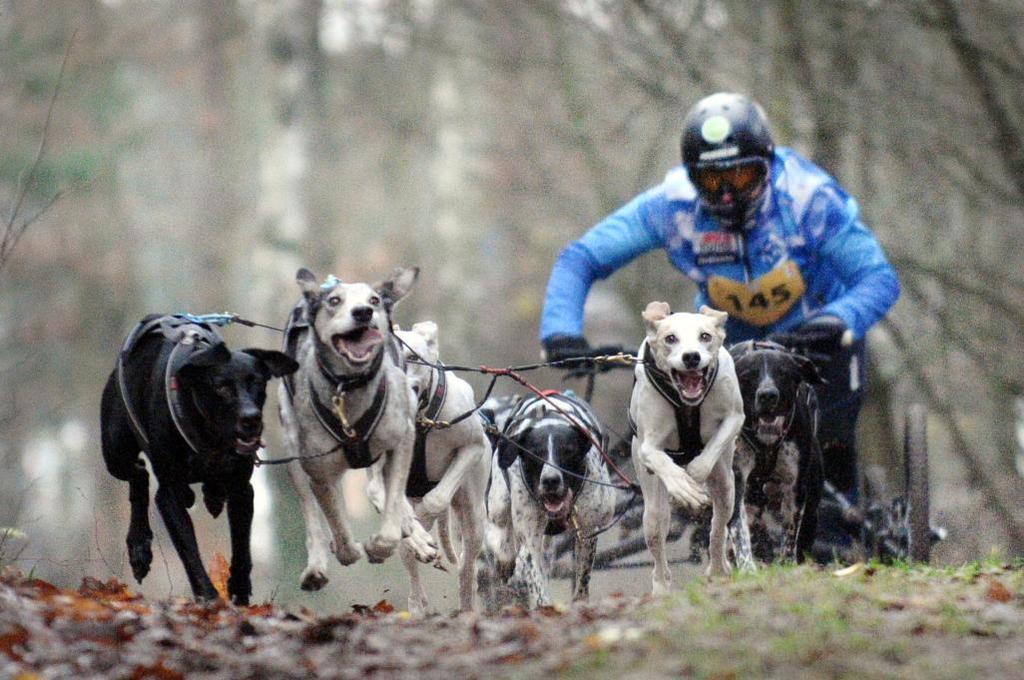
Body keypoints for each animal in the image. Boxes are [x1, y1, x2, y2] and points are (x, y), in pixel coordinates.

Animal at [99, 315, 296, 606]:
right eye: (221, 387)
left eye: (258, 383)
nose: (252, 419)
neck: (210, 434)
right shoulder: (168, 494)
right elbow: (189, 552)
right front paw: (210, 598)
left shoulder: (241, 489)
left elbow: (242, 548)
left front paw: (239, 590)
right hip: (116, 452)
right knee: (139, 474)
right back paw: (139, 546)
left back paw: (211, 495)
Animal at [278, 266, 438, 589]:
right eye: (334, 301)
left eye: (374, 299)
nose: (363, 312)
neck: (348, 388)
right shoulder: (319, 471)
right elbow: (338, 528)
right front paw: (348, 548)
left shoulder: (400, 441)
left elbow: (391, 519)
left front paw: (381, 544)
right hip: (292, 450)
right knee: (313, 516)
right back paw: (317, 564)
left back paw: (414, 534)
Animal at [366, 321, 493, 614]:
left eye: (411, 357)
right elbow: (377, 492)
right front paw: (413, 531)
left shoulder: (471, 447)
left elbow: (435, 499)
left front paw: (422, 518)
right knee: (412, 571)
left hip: (474, 517)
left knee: (467, 569)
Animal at [622, 301, 745, 589]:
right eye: (670, 338)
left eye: (705, 336)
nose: (691, 357)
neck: (687, 404)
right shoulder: (648, 444)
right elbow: (659, 458)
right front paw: (683, 486)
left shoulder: (734, 416)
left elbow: (714, 444)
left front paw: (696, 472)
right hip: (652, 508)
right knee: (657, 538)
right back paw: (661, 587)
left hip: (726, 488)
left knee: (718, 527)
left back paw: (718, 568)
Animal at [729, 340, 823, 569]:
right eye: (749, 374)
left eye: (783, 373)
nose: (767, 395)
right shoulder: (736, 479)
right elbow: (739, 531)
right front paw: (746, 566)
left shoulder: (795, 488)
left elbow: (790, 534)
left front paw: (787, 562)